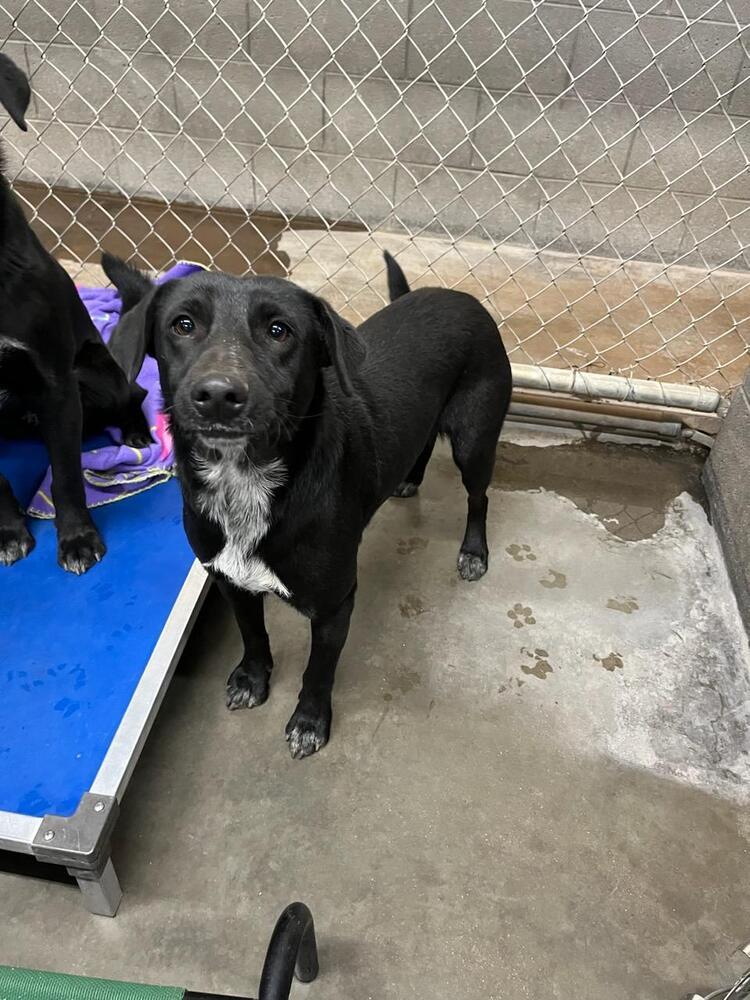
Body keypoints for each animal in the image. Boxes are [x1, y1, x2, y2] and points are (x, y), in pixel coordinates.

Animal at [0, 52, 151, 572]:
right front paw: (8, 531)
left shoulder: (57, 383)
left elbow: (66, 476)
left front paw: (78, 539)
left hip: (93, 377)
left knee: (135, 393)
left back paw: (136, 432)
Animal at [106, 250, 516, 756]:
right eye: (183, 325)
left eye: (279, 330)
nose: (219, 395)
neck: (246, 481)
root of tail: (458, 296)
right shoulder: (230, 580)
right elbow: (253, 635)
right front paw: (253, 680)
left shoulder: (334, 605)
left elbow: (318, 671)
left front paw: (309, 721)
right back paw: (409, 481)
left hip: (474, 441)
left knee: (479, 497)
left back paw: (474, 552)